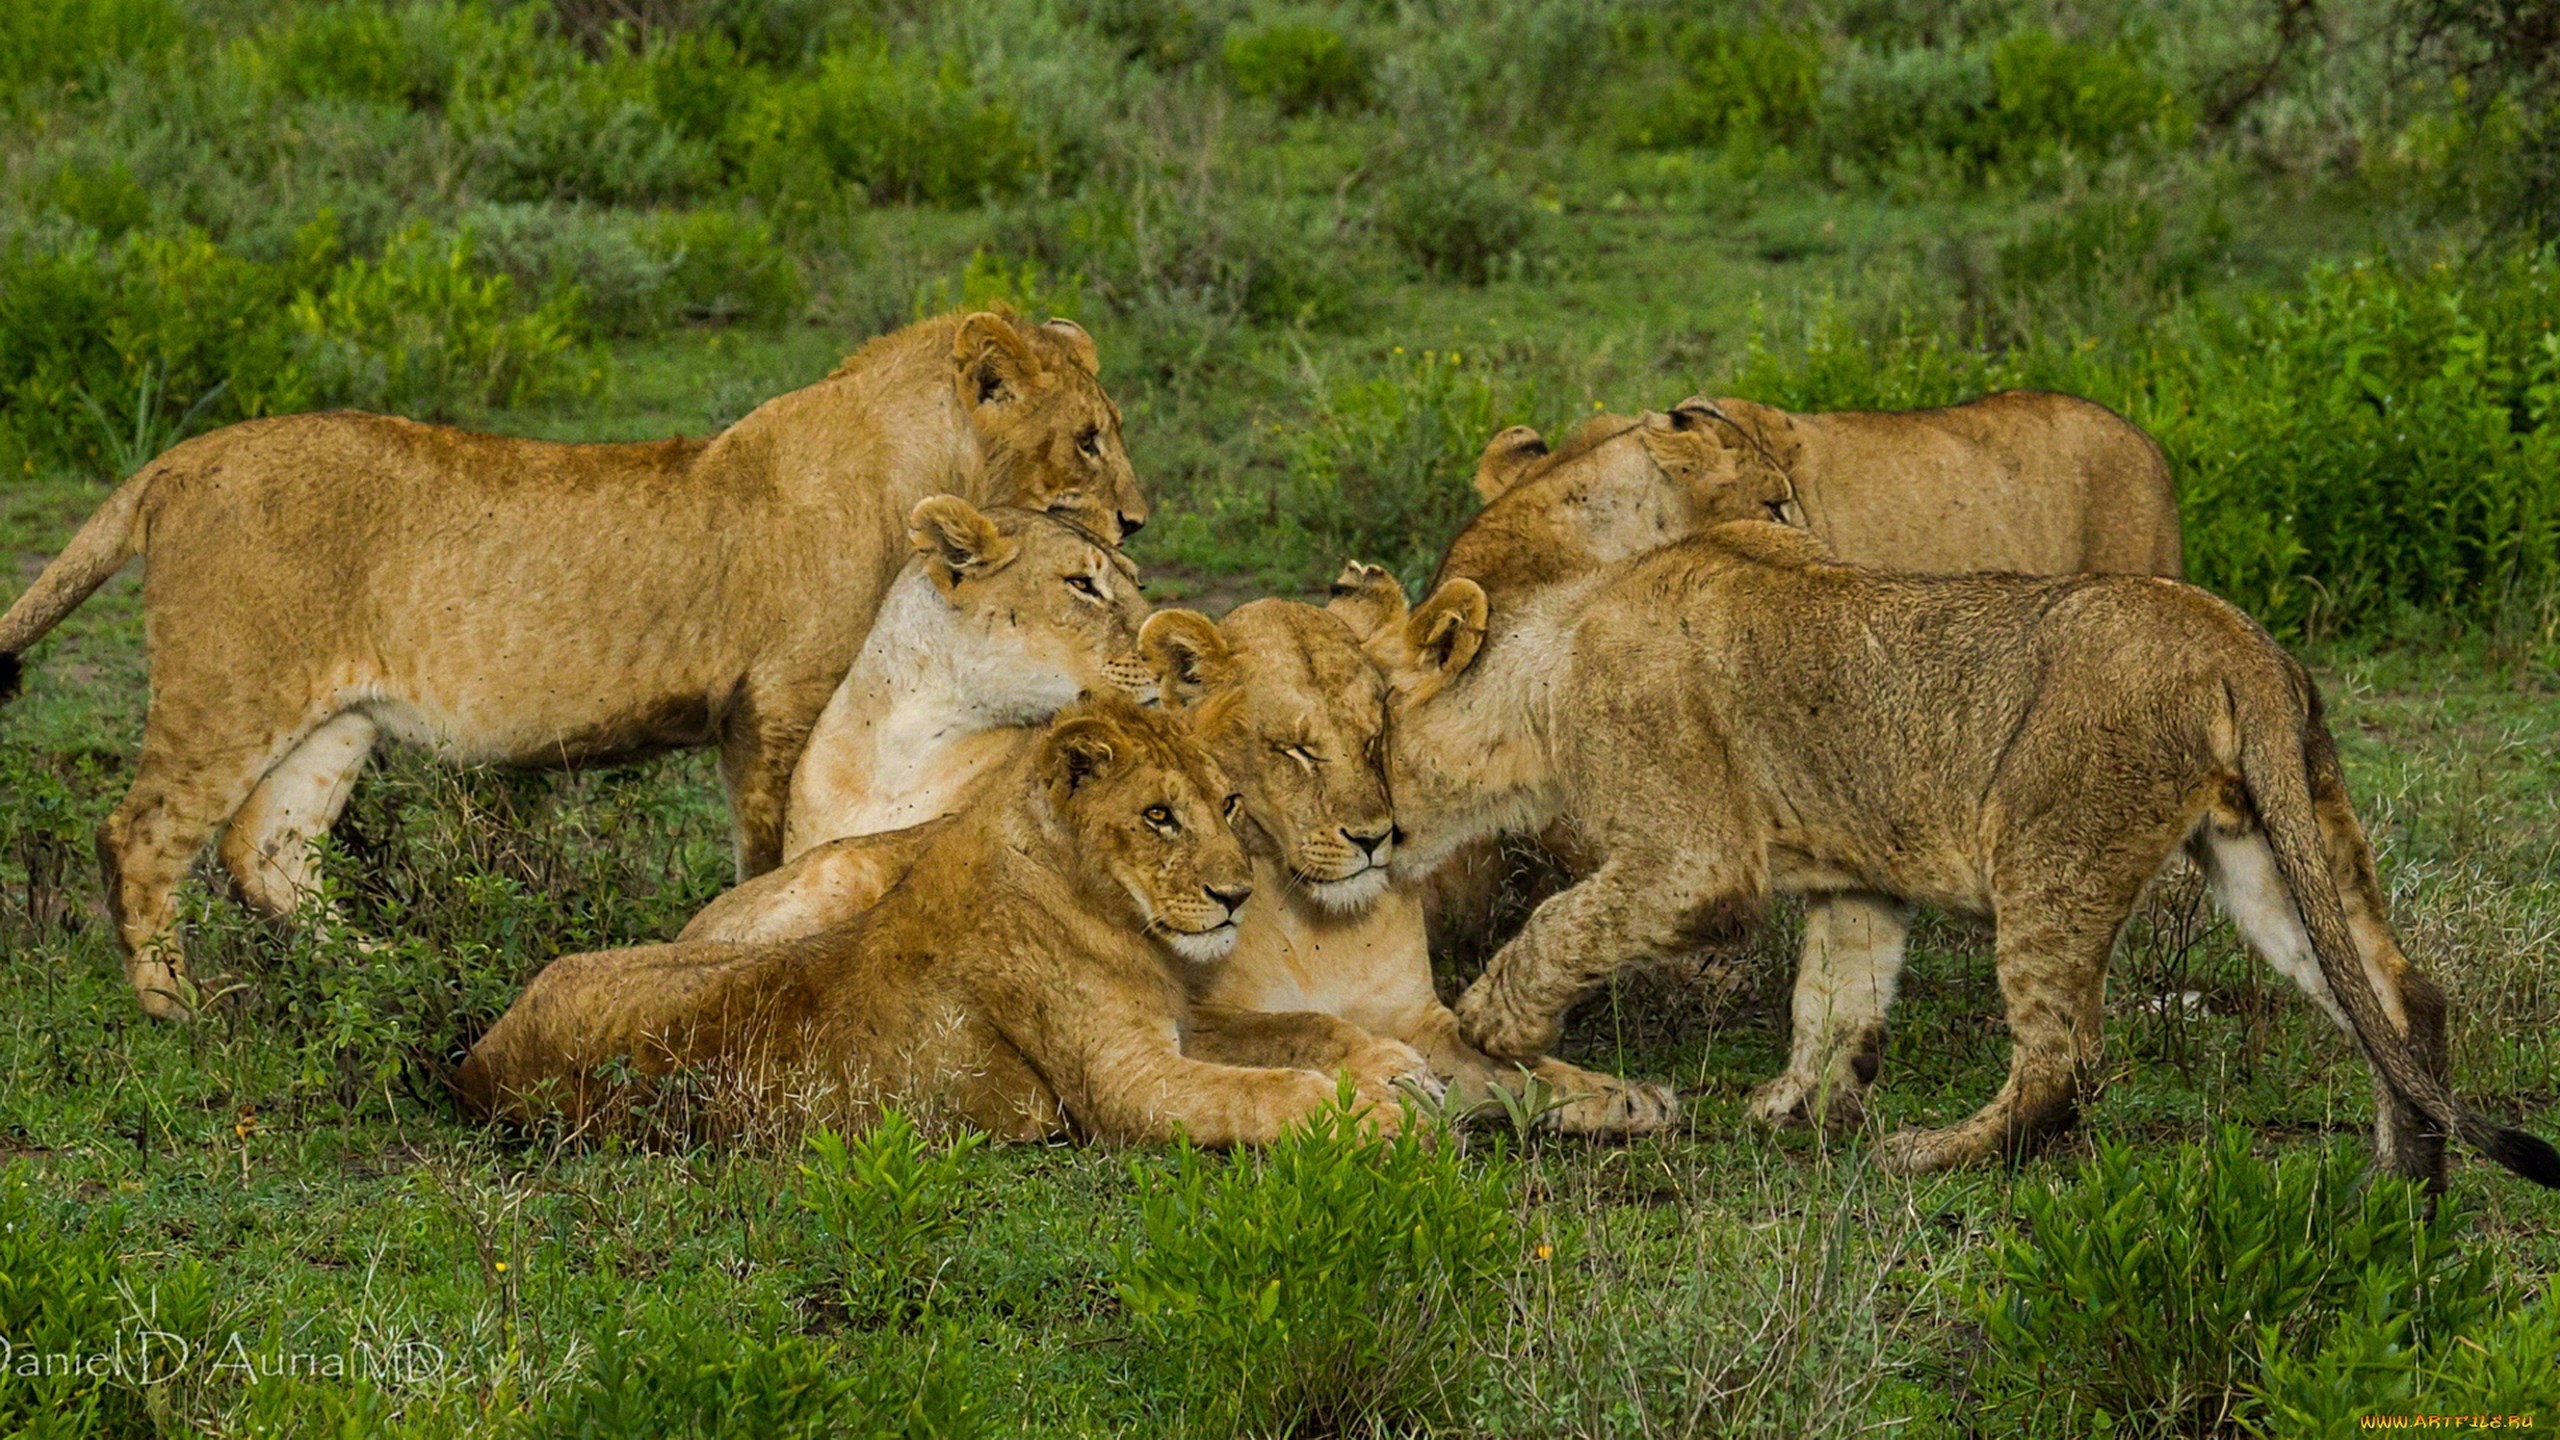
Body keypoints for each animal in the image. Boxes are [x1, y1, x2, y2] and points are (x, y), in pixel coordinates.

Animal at [0, 309, 1144, 1020]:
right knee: (141, 836)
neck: (922, 465)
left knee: (268, 855)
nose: (1138, 519)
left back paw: (394, 976)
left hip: (335, 719)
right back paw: (175, 1010)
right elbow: (771, 856)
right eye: (1089, 439)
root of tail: (178, 459)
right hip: (230, 690)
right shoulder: (778, 706)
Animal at [456, 693, 1435, 1146]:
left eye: (1228, 803)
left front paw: (1395, 1069)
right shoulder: (1123, 1085)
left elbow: (1298, 1028)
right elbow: (1267, 1090)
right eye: (1159, 816)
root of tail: (478, 1058)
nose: (1237, 896)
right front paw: (1376, 1114)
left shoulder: (1180, 1025)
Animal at [684, 598, 1676, 1136]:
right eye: (1294, 750)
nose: (1372, 838)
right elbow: (1308, 1027)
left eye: (1375, 737)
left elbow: (1510, 1064)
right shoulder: (1192, 1019)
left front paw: (1623, 1097)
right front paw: (1384, 1073)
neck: (1324, 921)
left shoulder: (1420, 1014)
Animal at [1355, 516, 2560, 1187]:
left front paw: (1493, 1023)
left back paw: (1930, 1154)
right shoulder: (1855, 882)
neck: (1543, 669)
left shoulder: (1696, 860)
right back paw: (2405, 1185)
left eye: (1362, 736)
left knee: (2066, 1058)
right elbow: (1832, 1001)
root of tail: (2235, 639)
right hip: (2271, 846)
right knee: (2398, 996)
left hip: (2050, 848)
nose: (1363, 838)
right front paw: (1793, 1109)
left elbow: (1561, 923)